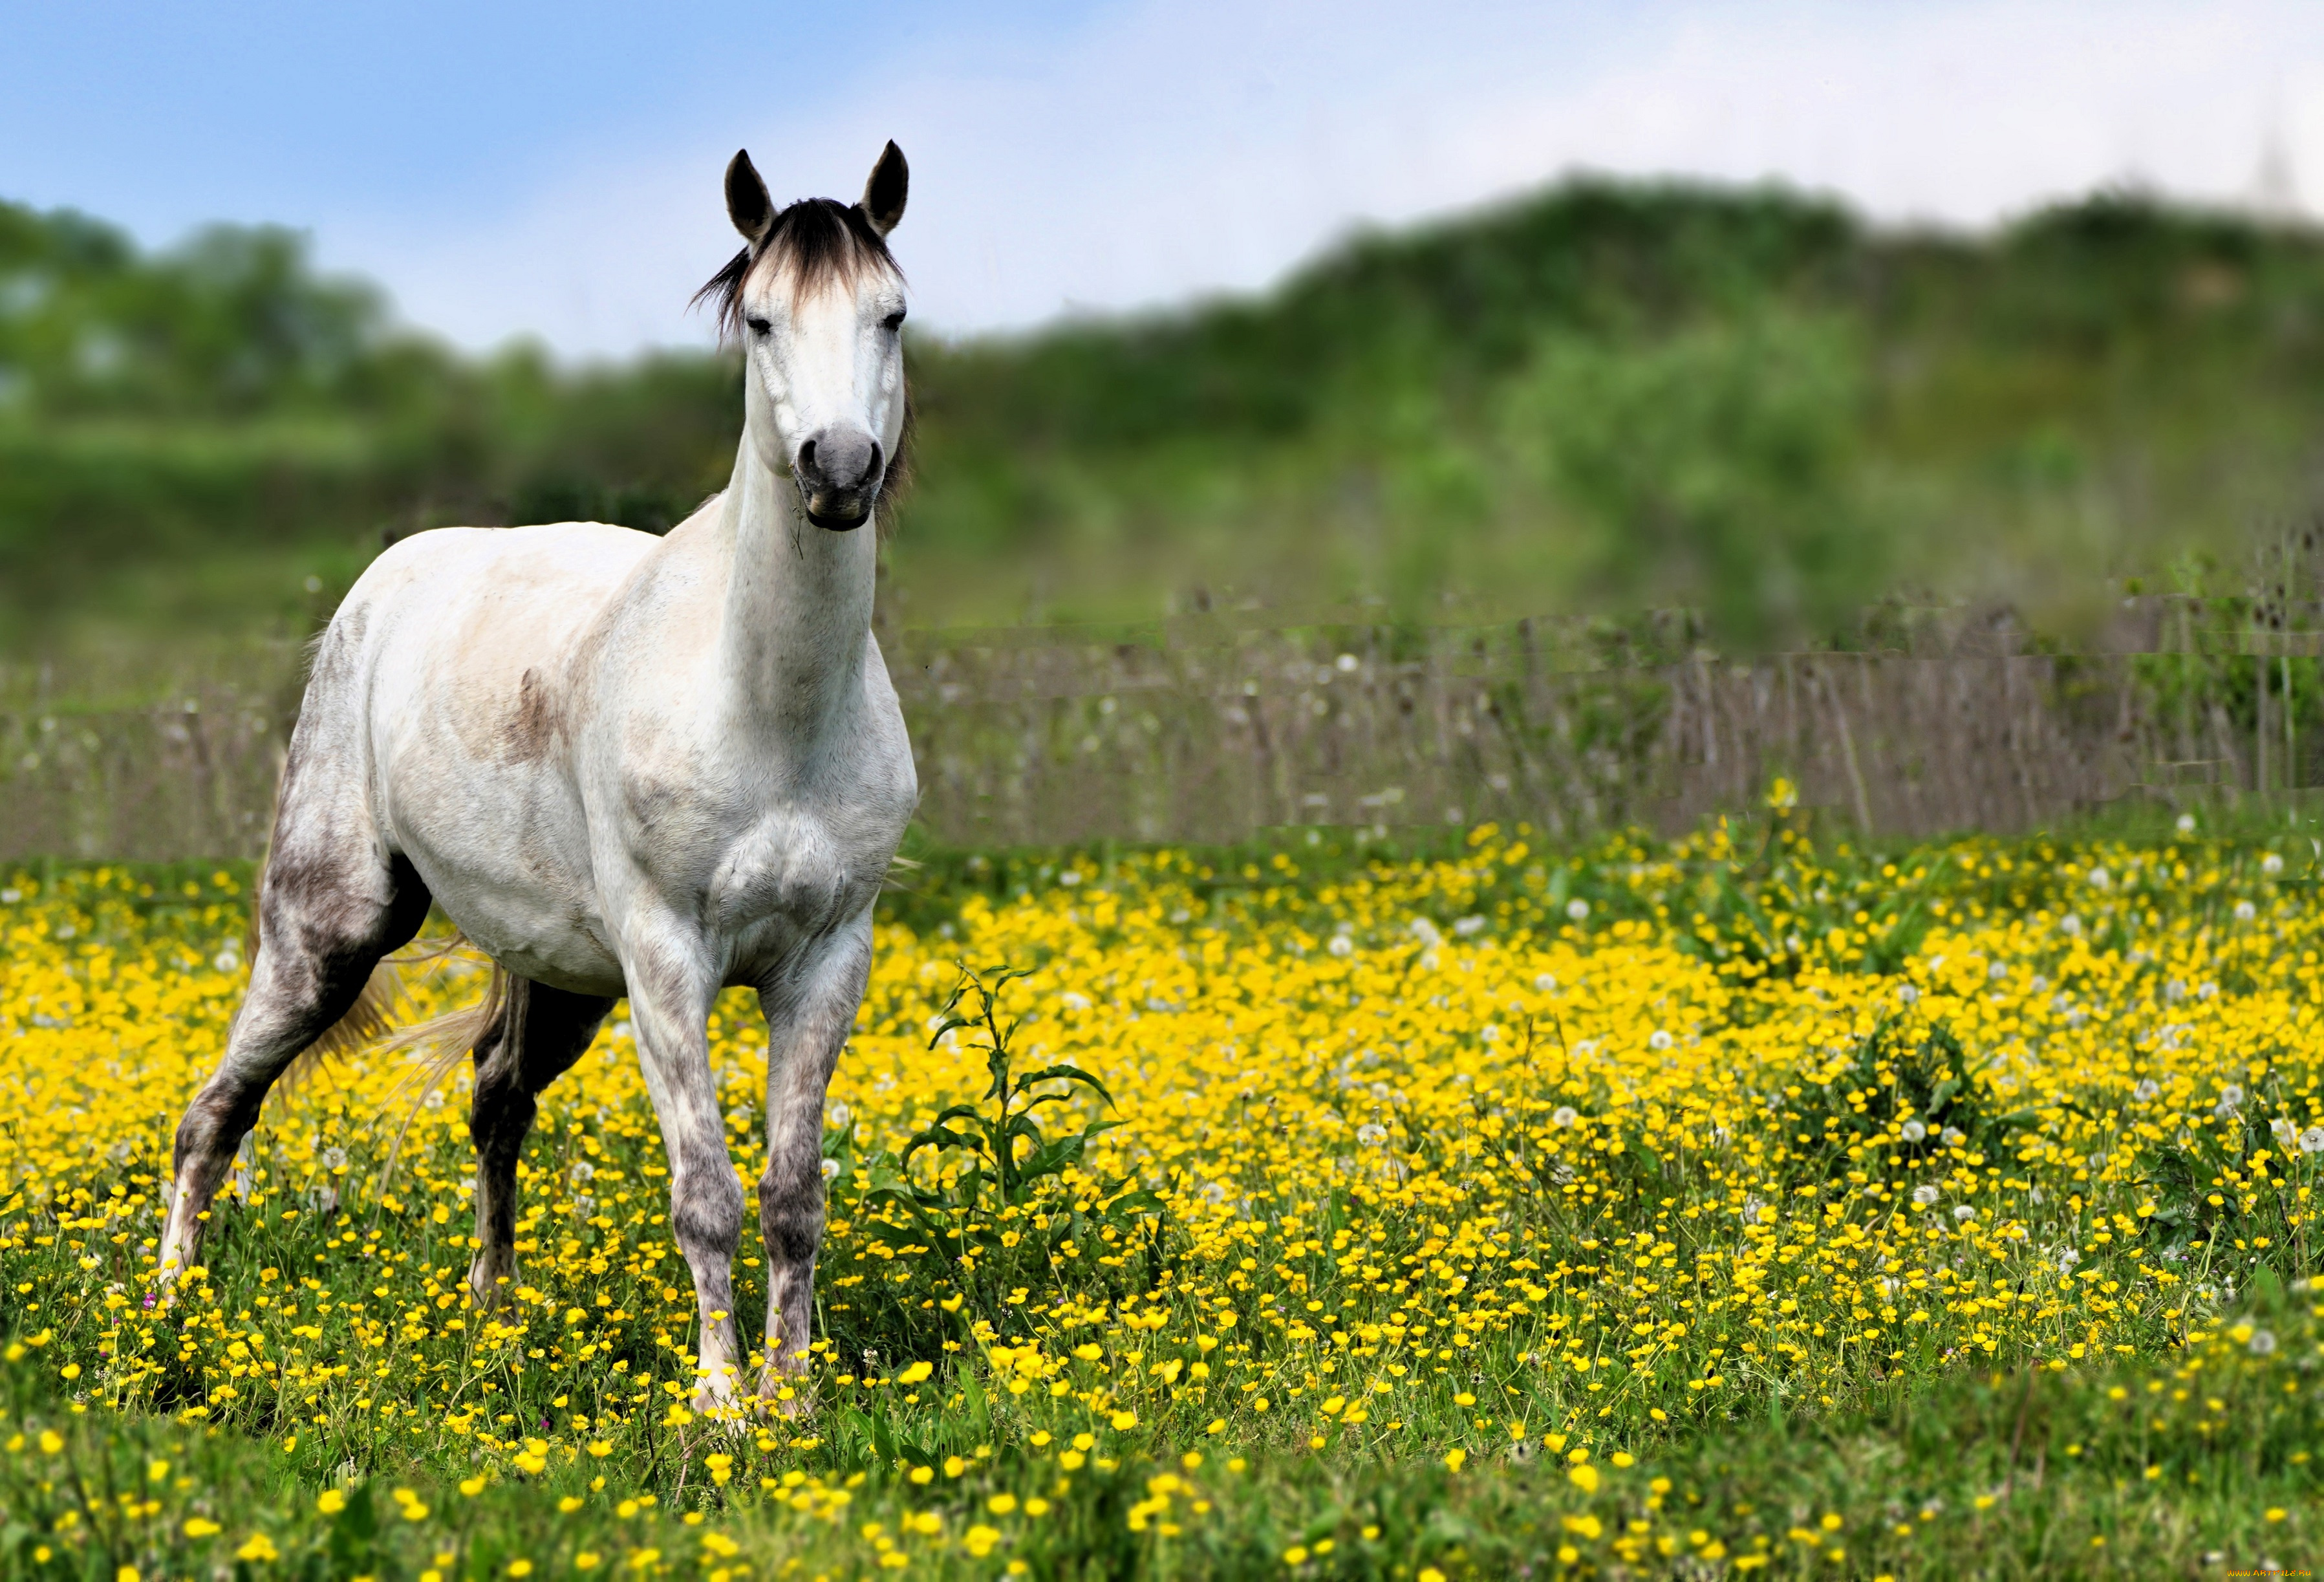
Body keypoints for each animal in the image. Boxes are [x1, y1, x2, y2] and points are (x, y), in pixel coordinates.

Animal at [159, 145, 920, 1403]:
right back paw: (167, 1320)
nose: (841, 469)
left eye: (891, 313)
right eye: (762, 319)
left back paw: (494, 1317)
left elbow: (791, 1198)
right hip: (328, 933)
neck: (768, 711)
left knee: (495, 1100)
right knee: (215, 1112)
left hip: (563, 980)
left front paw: (793, 1396)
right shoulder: (666, 961)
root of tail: (387, 584)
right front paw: (721, 1406)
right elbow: (706, 1196)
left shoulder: (825, 964)